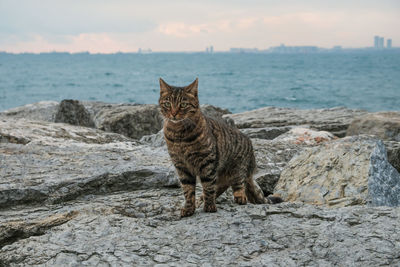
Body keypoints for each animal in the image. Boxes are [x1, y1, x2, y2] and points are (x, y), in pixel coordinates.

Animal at [158, 78, 280, 218]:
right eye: (167, 104)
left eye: (183, 104)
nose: (173, 113)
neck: (179, 134)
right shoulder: (181, 165)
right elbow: (188, 190)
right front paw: (189, 208)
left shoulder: (208, 162)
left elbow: (208, 185)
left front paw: (209, 206)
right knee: (222, 186)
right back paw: (202, 199)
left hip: (238, 167)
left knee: (238, 183)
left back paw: (239, 196)